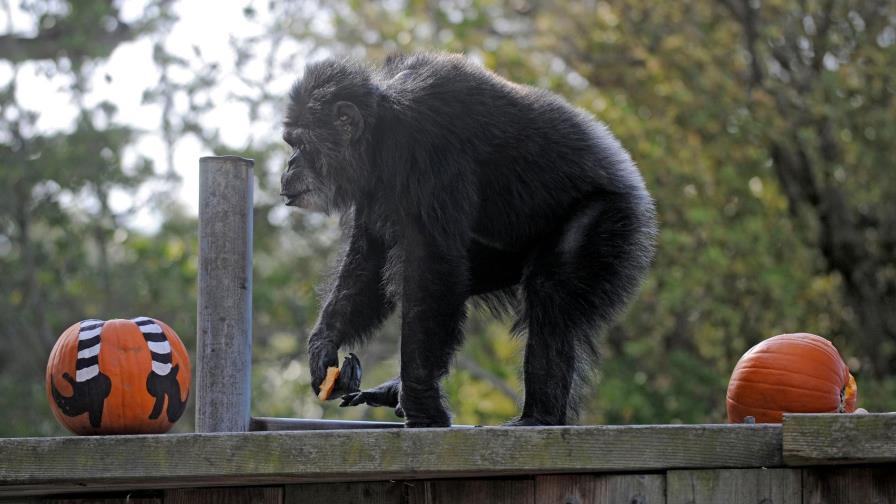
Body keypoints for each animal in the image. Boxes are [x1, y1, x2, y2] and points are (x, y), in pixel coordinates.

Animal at [282, 53, 656, 428]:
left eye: (301, 144)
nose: (288, 165)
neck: (380, 132)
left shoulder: (427, 143)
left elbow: (429, 262)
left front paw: (422, 405)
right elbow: (369, 260)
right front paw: (322, 348)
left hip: (613, 217)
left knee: (549, 289)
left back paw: (539, 416)